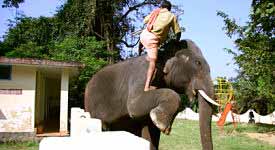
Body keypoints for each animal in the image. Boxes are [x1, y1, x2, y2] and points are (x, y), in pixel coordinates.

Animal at [85, 39, 219, 149]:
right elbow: (133, 106)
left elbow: (150, 129)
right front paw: (162, 124)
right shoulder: (142, 72)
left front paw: (160, 124)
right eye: (198, 63)